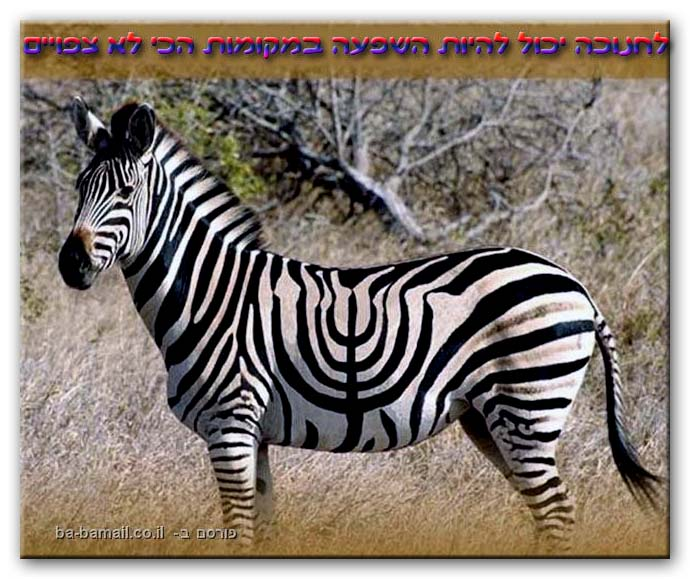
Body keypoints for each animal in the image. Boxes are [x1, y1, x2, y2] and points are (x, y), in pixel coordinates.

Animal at [58, 96, 660, 552]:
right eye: (79, 188)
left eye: (126, 193)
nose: (71, 264)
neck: (210, 294)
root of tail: (576, 286)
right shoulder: (252, 433)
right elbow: (263, 528)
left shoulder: (228, 424)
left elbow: (238, 530)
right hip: (490, 419)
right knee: (550, 510)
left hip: (527, 406)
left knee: (557, 512)